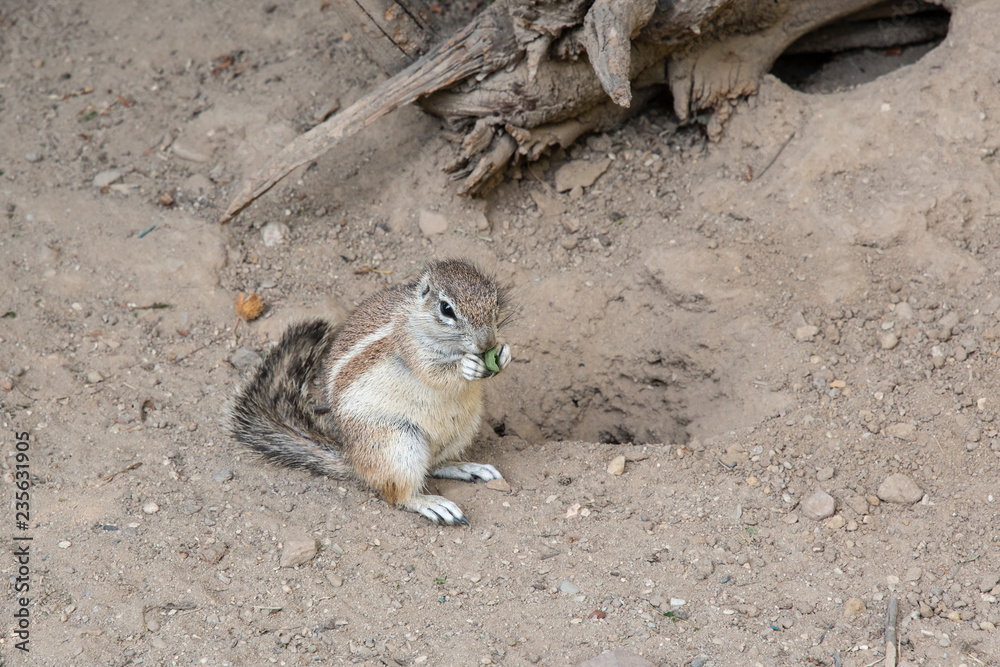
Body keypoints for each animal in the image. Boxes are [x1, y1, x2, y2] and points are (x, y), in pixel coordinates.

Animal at [228, 259, 513, 526]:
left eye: (495, 299)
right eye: (446, 309)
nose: (487, 343)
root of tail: (355, 461)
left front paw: (504, 353)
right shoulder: (410, 347)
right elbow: (434, 372)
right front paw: (466, 365)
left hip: (461, 430)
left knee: (433, 465)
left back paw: (467, 468)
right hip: (397, 444)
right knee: (399, 493)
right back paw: (433, 504)